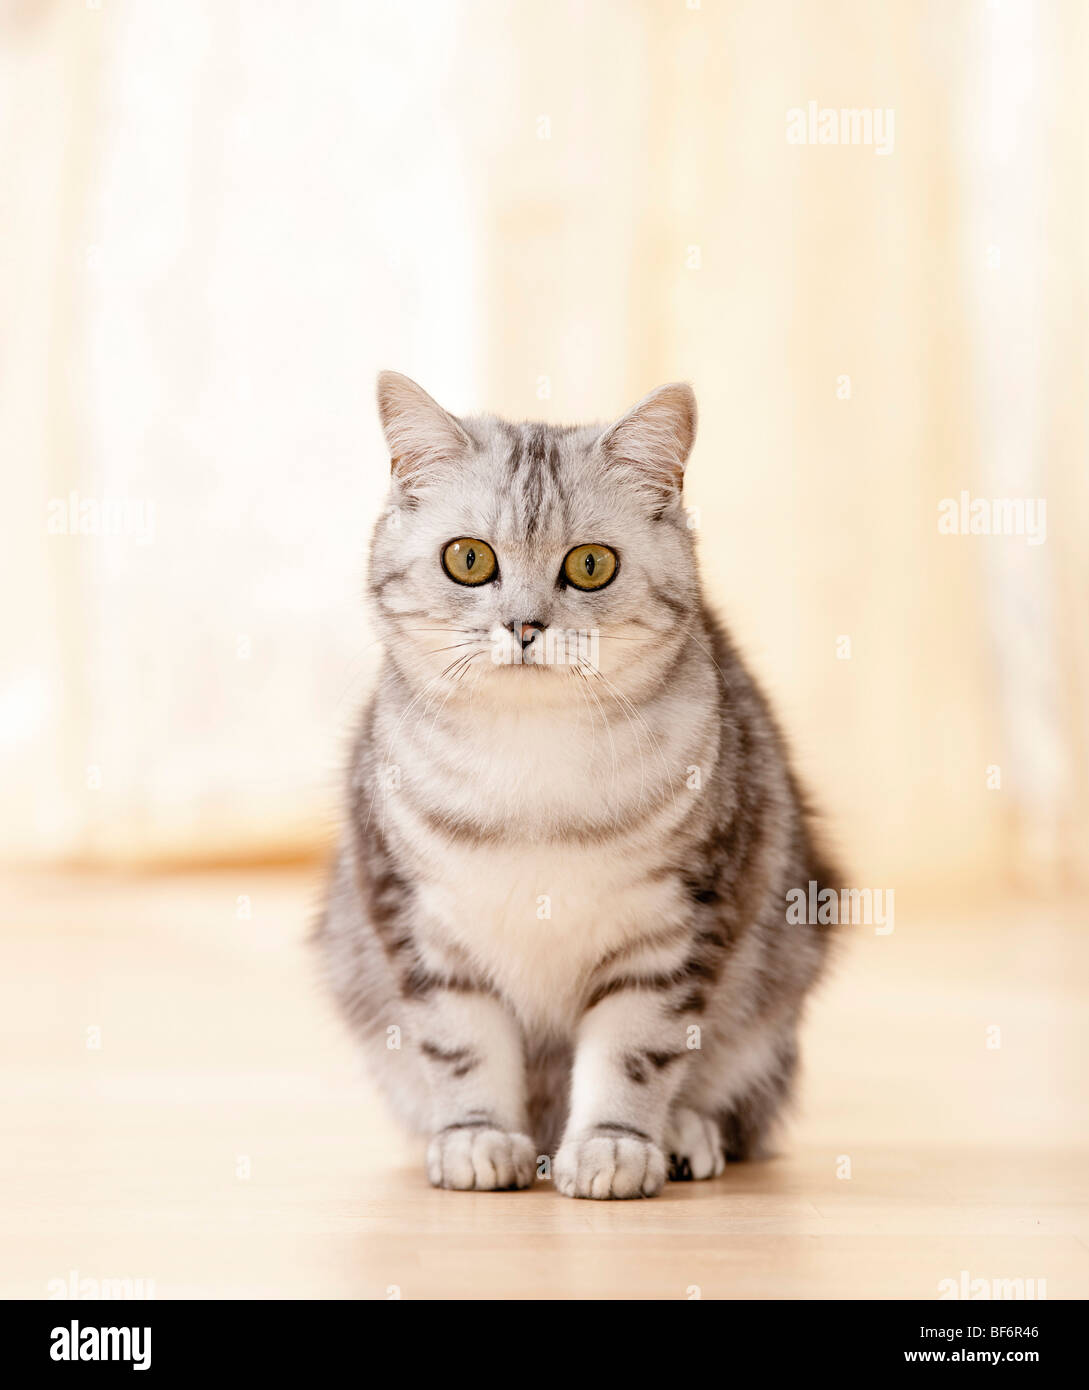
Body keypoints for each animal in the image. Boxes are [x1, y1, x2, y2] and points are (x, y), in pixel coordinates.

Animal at [311, 369, 840, 1195]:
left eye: (590, 566)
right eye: (467, 559)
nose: (525, 626)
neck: (534, 767)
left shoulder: (673, 927)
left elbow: (633, 1051)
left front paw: (614, 1146)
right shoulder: (420, 921)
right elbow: (462, 1047)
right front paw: (475, 1138)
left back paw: (682, 1134)